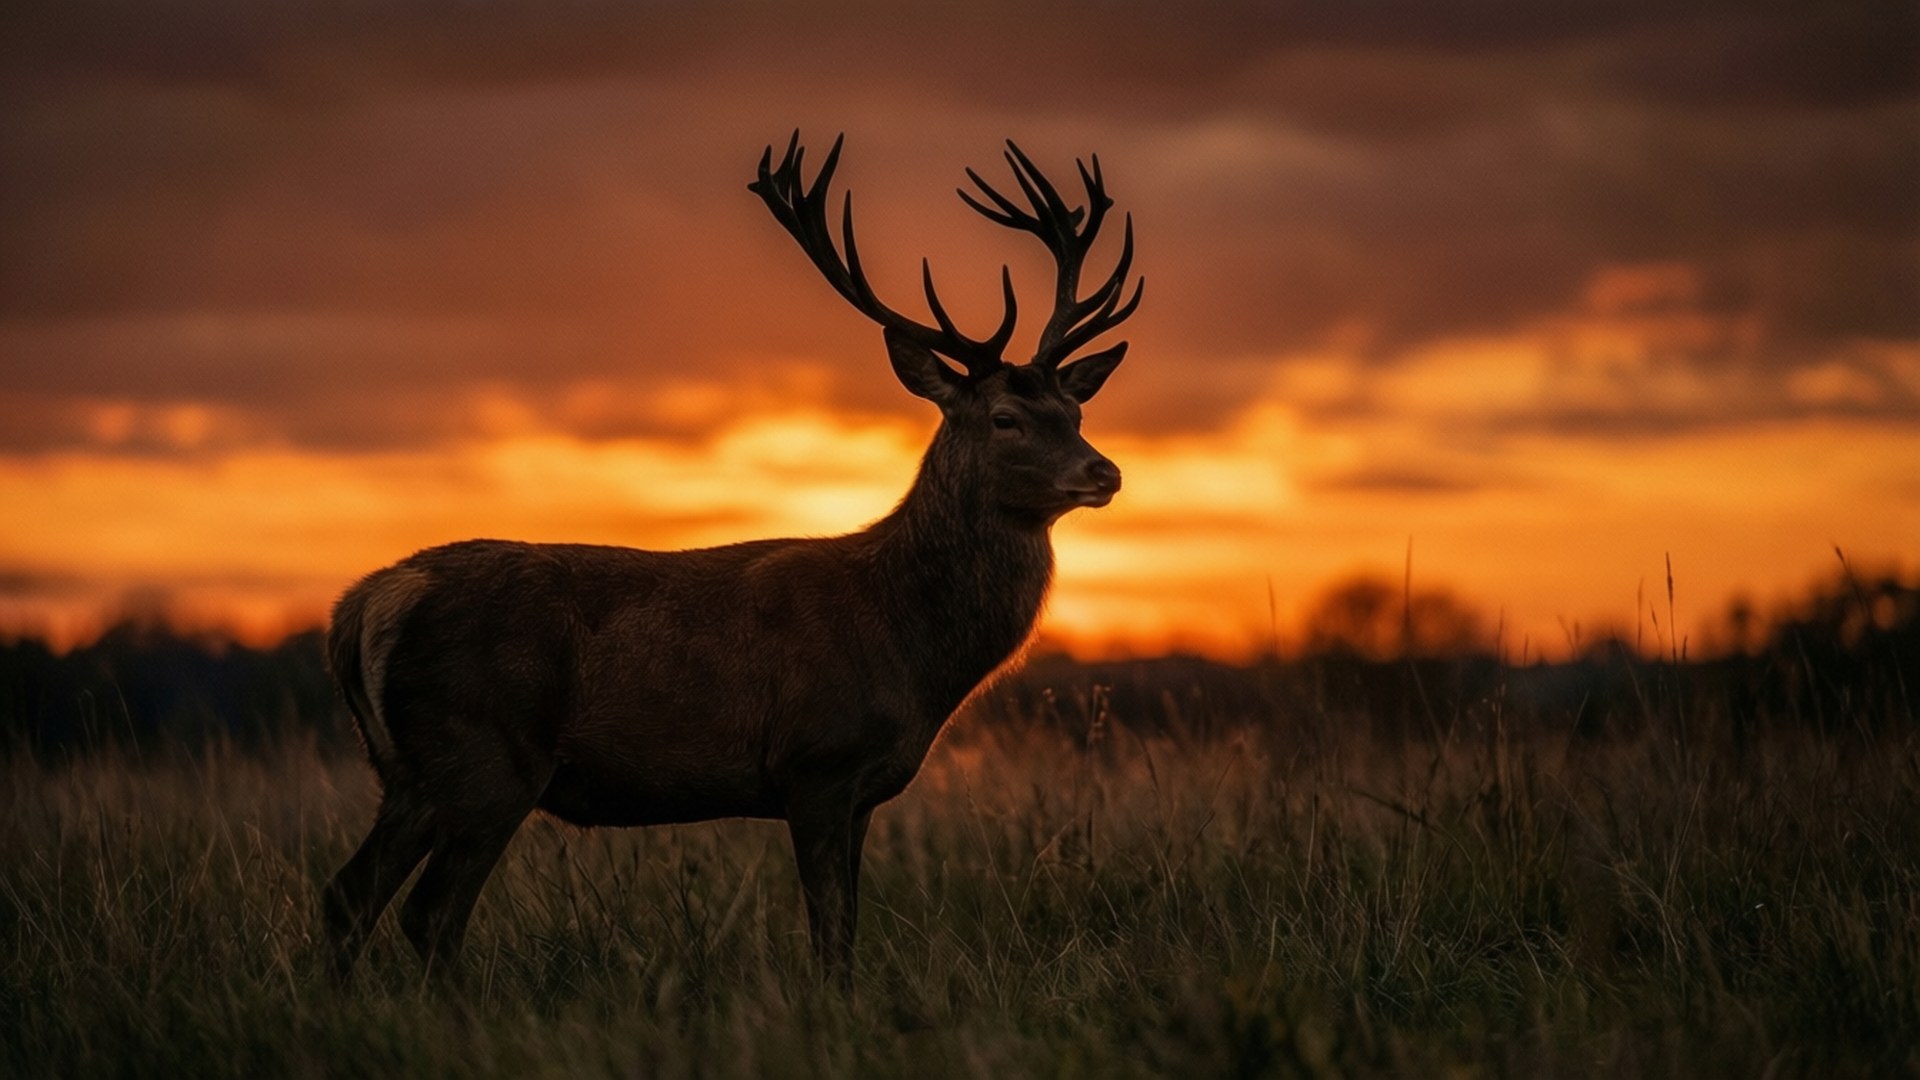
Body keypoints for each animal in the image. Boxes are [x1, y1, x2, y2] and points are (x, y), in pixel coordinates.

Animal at [320, 132, 1142, 980]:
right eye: (1006, 417)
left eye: (1076, 411)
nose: (1104, 472)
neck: (907, 645)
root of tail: (366, 605)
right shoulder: (816, 763)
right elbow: (831, 933)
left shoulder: (861, 793)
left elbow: (847, 927)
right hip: (487, 753)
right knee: (429, 912)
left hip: (410, 771)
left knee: (350, 896)